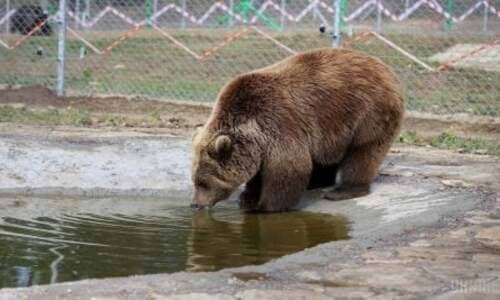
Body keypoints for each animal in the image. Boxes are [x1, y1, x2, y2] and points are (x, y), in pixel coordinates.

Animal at [189, 47, 404, 211]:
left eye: (203, 182)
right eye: (195, 180)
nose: (196, 204)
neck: (251, 128)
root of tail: (384, 67)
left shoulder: (278, 123)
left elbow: (289, 167)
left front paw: (264, 206)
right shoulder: (259, 142)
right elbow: (259, 172)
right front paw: (248, 197)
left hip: (369, 112)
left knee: (364, 152)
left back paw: (344, 190)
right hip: (334, 128)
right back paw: (318, 182)